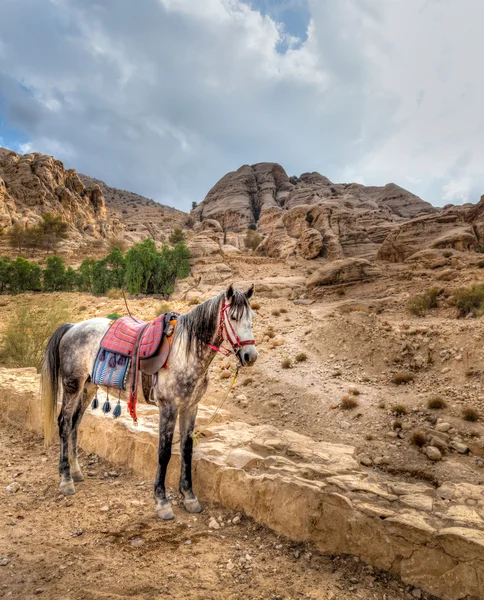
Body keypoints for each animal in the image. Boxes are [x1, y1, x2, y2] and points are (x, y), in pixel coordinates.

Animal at [42, 284, 260, 516]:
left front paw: (189, 496)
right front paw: (162, 501)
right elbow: (164, 453)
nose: (251, 356)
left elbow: (187, 450)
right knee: (64, 424)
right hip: (72, 385)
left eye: (252, 317)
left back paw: (76, 472)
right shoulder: (169, 408)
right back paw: (66, 480)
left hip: (88, 387)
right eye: (234, 317)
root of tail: (72, 327)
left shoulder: (191, 408)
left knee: (75, 423)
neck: (185, 352)